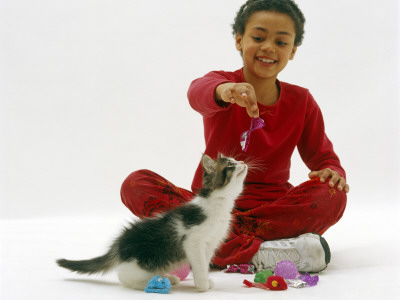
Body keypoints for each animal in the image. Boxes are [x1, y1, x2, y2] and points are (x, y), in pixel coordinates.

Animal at [57, 154, 247, 292]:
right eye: (230, 165)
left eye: (236, 160)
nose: (243, 162)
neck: (217, 204)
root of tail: (119, 244)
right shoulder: (193, 241)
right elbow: (199, 265)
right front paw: (202, 287)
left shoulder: (209, 244)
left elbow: (204, 264)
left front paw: (206, 281)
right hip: (138, 263)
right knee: (124, 278)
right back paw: (149, 283)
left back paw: (167, 278)